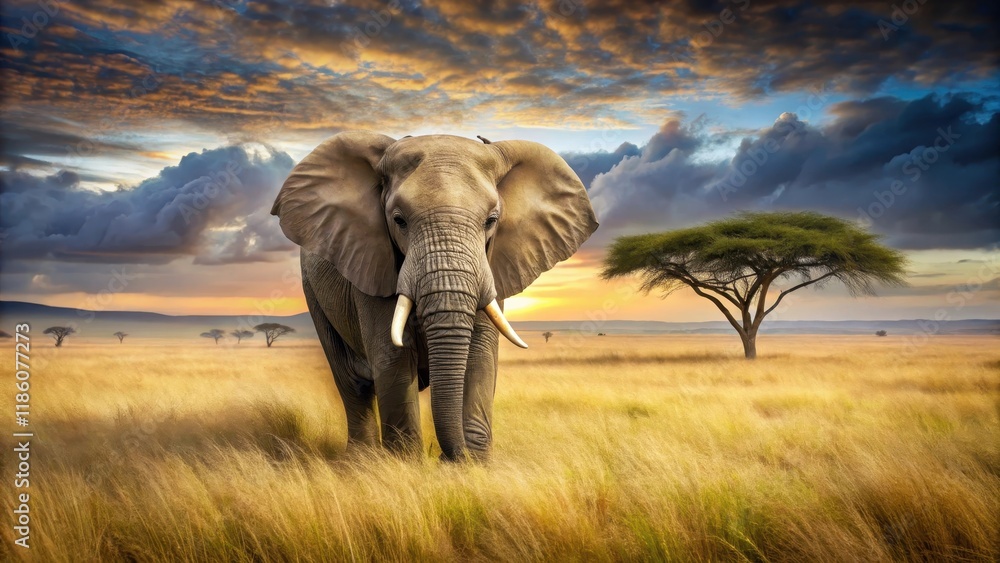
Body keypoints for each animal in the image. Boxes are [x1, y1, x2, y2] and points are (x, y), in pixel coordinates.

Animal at [270, 131, 598, 461]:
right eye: (399, 220)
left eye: (491, 220)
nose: (447, 456)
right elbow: (393, 355)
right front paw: (406, 463)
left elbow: (481, 354)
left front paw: (473, 463)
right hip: (313, 292)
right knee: (352, 383)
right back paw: (361, 460)